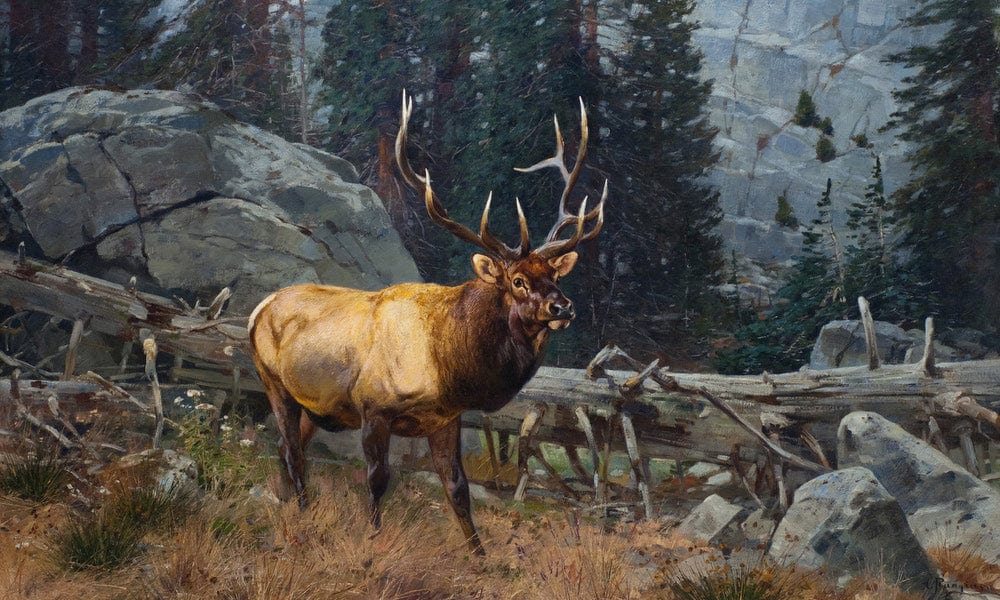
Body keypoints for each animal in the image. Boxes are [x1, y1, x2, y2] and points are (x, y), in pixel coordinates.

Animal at [247, 91, 605, 555]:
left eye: (555, 276)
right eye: (518, 281)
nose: (563, 307)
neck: (446, 364)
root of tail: (258, 308)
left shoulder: (446, 418)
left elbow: (457, 488)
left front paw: (479, 555)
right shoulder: (373, 408)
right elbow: (378, 480)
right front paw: (373, 539)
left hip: (314, 404)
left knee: (285, 448)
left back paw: (290, 503)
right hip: (273, 381)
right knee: (291, 450)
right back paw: (305, 512)